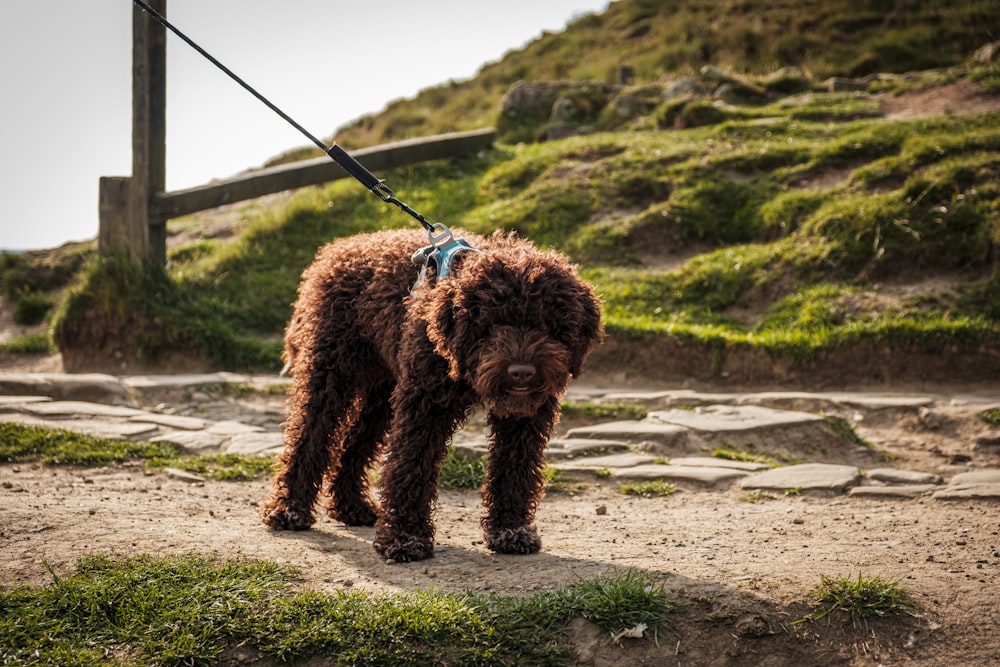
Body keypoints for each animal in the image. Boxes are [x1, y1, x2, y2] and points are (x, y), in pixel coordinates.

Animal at [262, 227, 600, 560]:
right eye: (491, 324)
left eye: (549, 324)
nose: (522, 372)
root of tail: (335, 250)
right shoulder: (423, 405)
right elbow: (410, 465)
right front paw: (405, 538)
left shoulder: (525, 417)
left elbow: (514, 468)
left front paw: (510, 529)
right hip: (329, 374)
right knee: (309, 436)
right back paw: (289, 509)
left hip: (382, 394)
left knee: (354, 443)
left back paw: (352, 506)